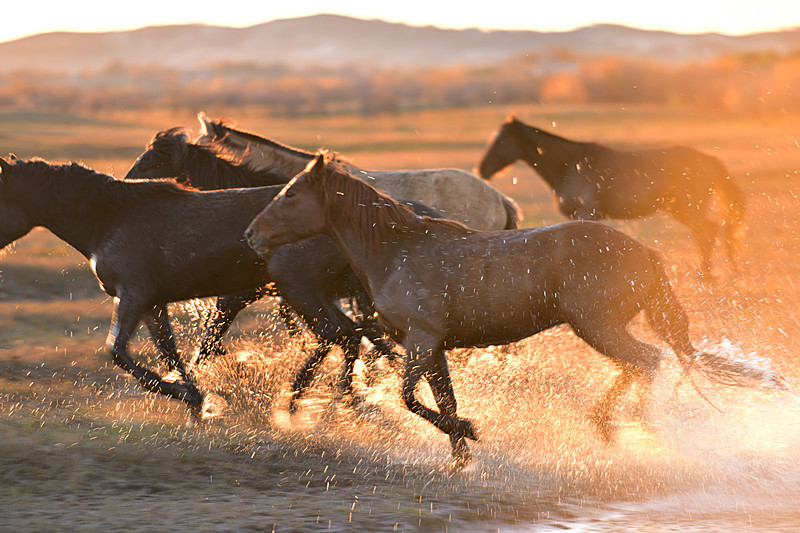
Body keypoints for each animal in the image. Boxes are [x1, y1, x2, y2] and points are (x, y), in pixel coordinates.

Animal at [247, 150, 780, 466]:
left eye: (290, 194)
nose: (252, 235)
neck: (398, 250)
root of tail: (644, 252)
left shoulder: (421, 339)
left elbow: (409, 398)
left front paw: (469, 433)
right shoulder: (434, 347)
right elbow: (441, 400)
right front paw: (461, 457)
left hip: (597, 327)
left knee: (649, 361)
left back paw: (629, 428)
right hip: (599, 328)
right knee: (643, 363)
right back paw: (606, 426)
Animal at [476, 117, 744, 278]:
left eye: (500, 140)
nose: (482, 169)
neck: (569, 165)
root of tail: (709, 159)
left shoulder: (587, 213)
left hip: (688, 209)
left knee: (707, 233)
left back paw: (708, 280)